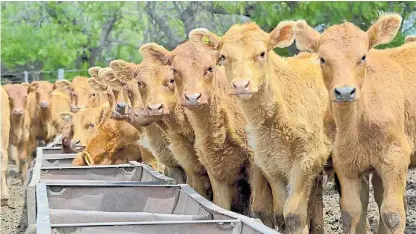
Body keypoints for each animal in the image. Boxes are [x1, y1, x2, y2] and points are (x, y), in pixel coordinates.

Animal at [292, 12, 416, 234]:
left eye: (363, 56)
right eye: (322, 58)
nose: (344, 92)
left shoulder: (395, 157)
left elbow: (393, 214)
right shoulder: (345, 164)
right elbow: (351, 212)